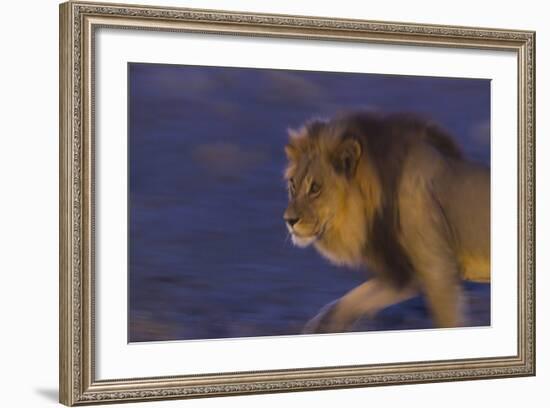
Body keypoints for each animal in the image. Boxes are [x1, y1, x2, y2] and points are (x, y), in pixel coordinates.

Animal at [284, 111, 492, 332]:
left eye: (315, 188)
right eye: (293, 185)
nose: (289, 220)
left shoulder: (438, 270)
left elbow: (449, 321)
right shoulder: (403, 270)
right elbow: (351, 300)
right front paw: (321, 326)